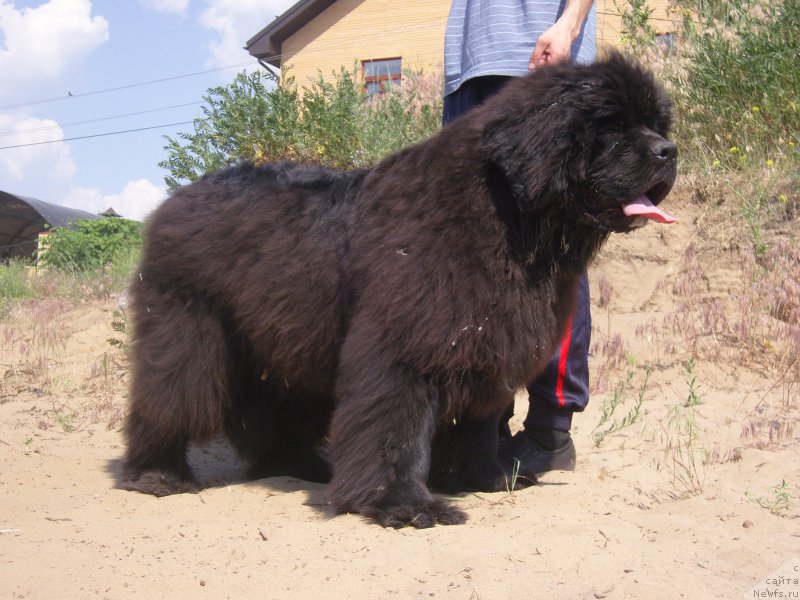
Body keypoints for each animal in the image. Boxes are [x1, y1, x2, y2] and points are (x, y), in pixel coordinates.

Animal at [122, 52, 680, 528]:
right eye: (609, 126)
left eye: (656, 124)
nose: (669, 151)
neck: (504, 218)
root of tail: (177, 199)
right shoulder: (402, 349)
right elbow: (394, 428)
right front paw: (403, 504)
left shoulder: (484, 346)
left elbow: (477, 425)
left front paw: (483, 477)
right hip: (189, 334)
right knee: (168, 401)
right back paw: (157, 474)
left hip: (279, 347)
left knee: (269, 413)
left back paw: (299, 464)